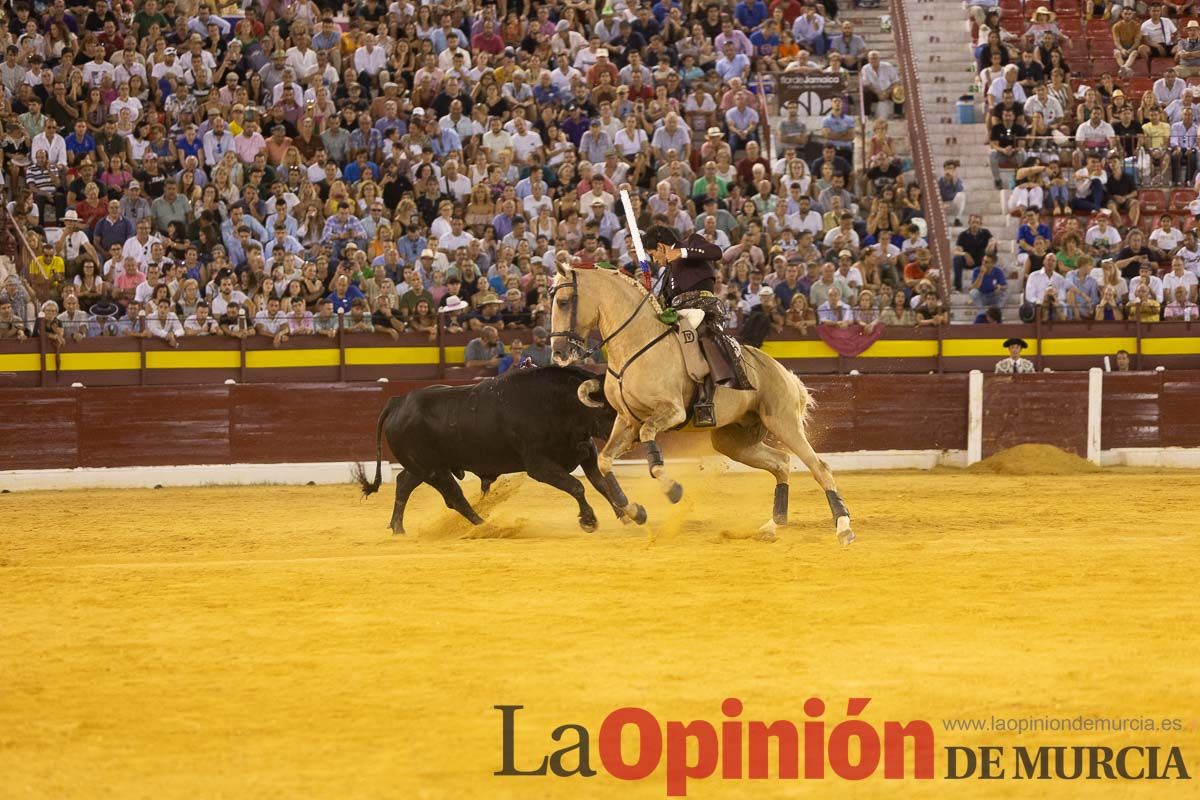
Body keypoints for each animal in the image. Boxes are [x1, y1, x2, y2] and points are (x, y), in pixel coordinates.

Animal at [350, 367, 648, 534]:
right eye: (611, 408)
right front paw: (589, 521)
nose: (637, 433)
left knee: (403, 483)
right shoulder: (539, 466)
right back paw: (487, 526)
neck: (557, 405)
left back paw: (398, 527)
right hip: (433, 470)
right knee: (454, 497)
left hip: (424, 467)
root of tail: (398, 401)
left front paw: (631, 515)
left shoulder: (585, 453)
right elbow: (578, 486)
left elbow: (602, 484)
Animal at [549, 262, 854, 544]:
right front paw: (636, 511)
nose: (558, 353)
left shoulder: (670, 412)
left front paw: (673, 491)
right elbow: (604, 461)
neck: (636, 345)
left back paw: (843, 528)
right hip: (733, 440)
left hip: (784, 423)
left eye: (563, 302)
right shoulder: (626, 420)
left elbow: (651, 449)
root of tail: (782, 371)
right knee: (781, 462)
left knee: (819, 467)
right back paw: (771, 526)